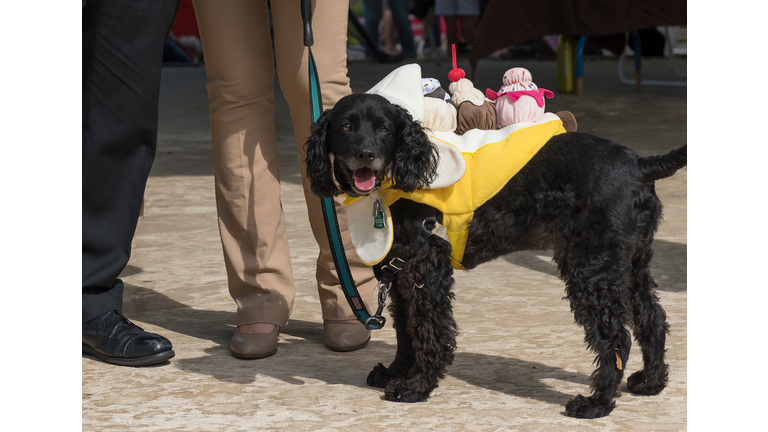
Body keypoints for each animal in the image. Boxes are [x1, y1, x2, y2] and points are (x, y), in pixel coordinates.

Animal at [304, 93, 688, 418]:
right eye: (346, 126)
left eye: (384, 128)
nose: (365, 154)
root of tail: (640, 164)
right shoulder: (401, 273)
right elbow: (406, 330)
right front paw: (397, 372)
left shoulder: (426, 269)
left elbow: (428, 328)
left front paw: (417, 385)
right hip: (629, 265)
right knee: (653, 318)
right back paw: (651, 382)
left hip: (591, 268)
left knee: (616, 337)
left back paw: (597, 403)